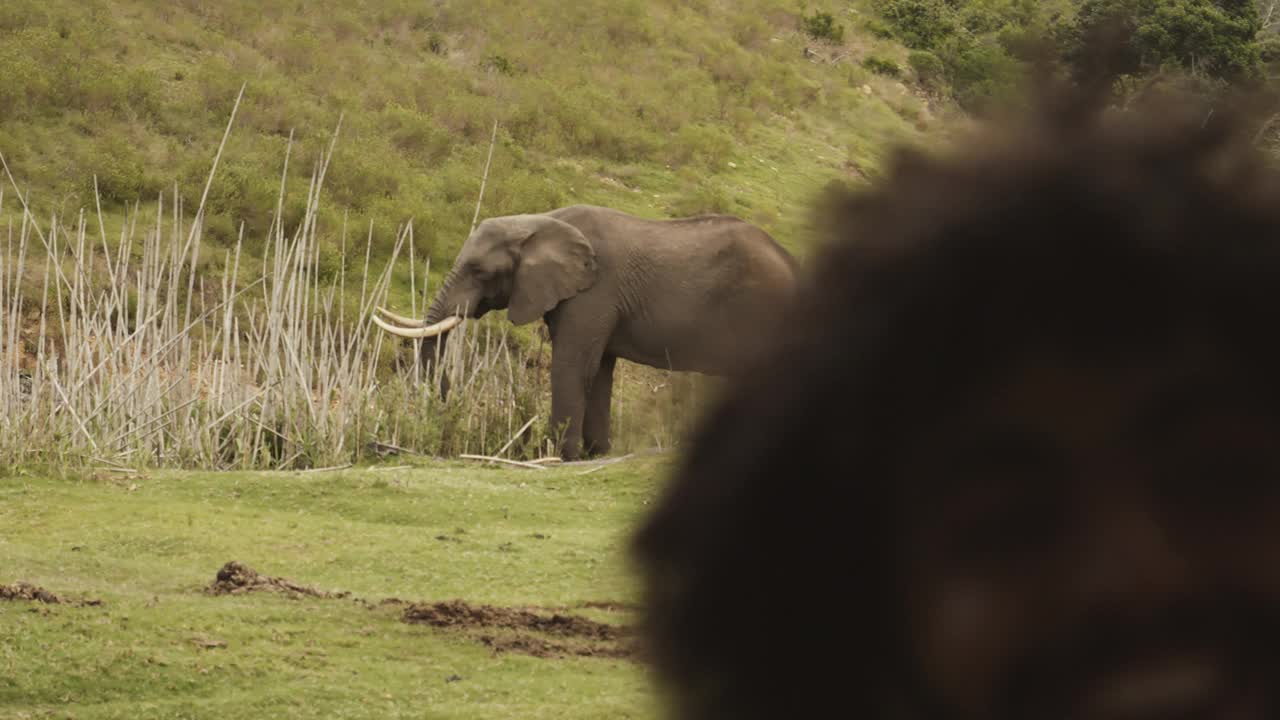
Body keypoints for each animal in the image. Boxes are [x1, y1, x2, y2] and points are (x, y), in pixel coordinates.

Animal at [373, 202, 798, 458]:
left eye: (478, 270)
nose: (448, 400)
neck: (538, 221)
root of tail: (791, 261)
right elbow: (601, 371)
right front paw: (596, 454)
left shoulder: (593, 293)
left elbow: (574, 367)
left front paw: (560, 456)